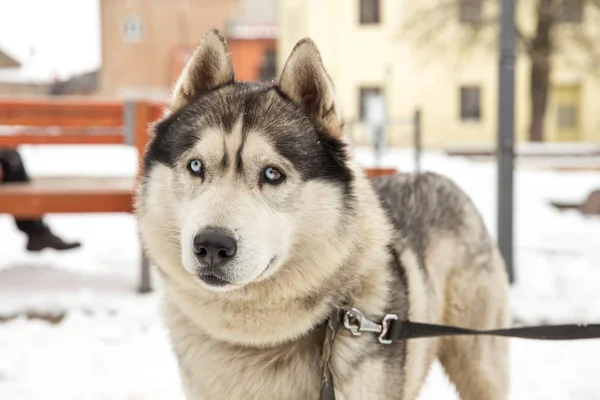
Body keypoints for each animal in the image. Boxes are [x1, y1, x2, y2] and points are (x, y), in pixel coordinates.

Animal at [137, 29, 510, 398]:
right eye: (196, 166)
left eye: (272, 174)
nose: (212, 245)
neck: (257, 342)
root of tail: (437, 177)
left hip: (479, 366)